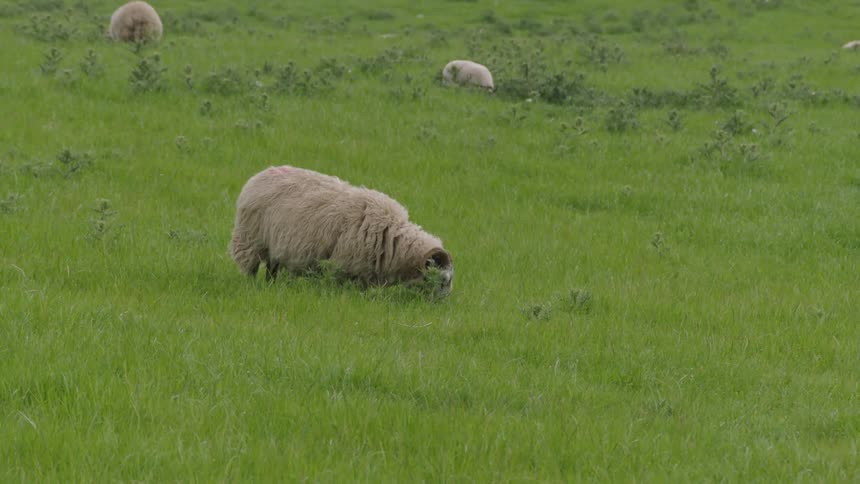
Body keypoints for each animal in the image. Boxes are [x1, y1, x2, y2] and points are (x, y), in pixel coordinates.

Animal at [230, 165, 454, 296]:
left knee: (271, 269)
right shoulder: (343, 264)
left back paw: (271, 287)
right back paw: (252, 287)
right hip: (250, 239)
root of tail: (260, 174)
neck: (393, 239)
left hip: (274, 246)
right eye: (443, 281)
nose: (443, 304)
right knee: (250, 268)